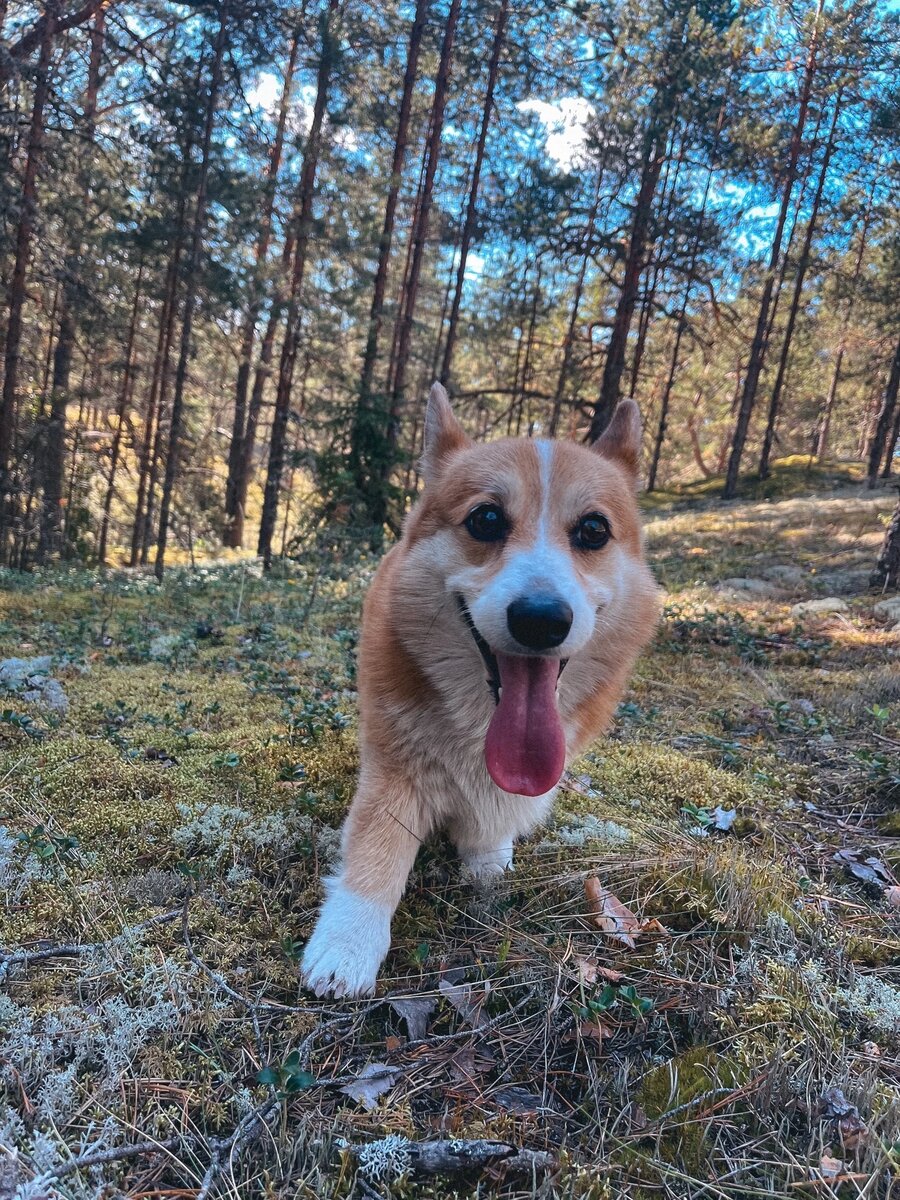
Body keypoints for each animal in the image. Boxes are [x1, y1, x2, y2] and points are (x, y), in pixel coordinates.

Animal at [300, 381, 657, 993]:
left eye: (593, 530)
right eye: (486, 519)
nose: (541, 620)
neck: (482, 720)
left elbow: (494, 818)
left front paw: (487, 856)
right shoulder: (395, 769)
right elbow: (378, 847)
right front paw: (347, 946)